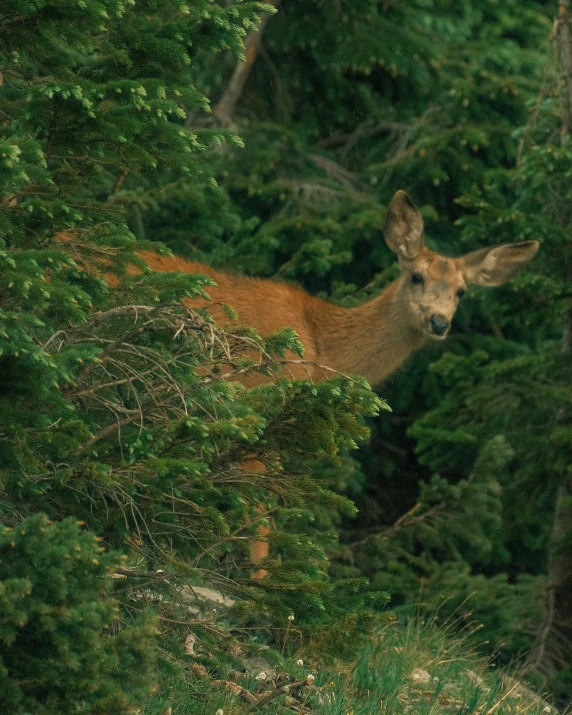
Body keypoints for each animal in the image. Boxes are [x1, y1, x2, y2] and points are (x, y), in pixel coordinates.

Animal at [125, 193, 540, 580]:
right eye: (416, 277)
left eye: (461, 291)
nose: (439, 322)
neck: (320, 346)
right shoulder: (263, 409)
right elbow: (260, 513)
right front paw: (262, 587)